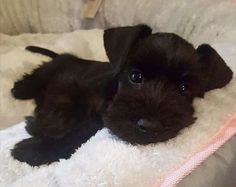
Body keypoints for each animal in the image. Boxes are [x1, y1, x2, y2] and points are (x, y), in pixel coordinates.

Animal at [11, 24, 232, 167]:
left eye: (184, 89)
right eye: (135, 76)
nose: (149, 127)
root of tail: (68, 56)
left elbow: (83, 130)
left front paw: (34, 148)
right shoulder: (76, 88)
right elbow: (69, 110)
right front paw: (39, 129)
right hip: (56, 68)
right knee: (39, 74)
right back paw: (20, 89)